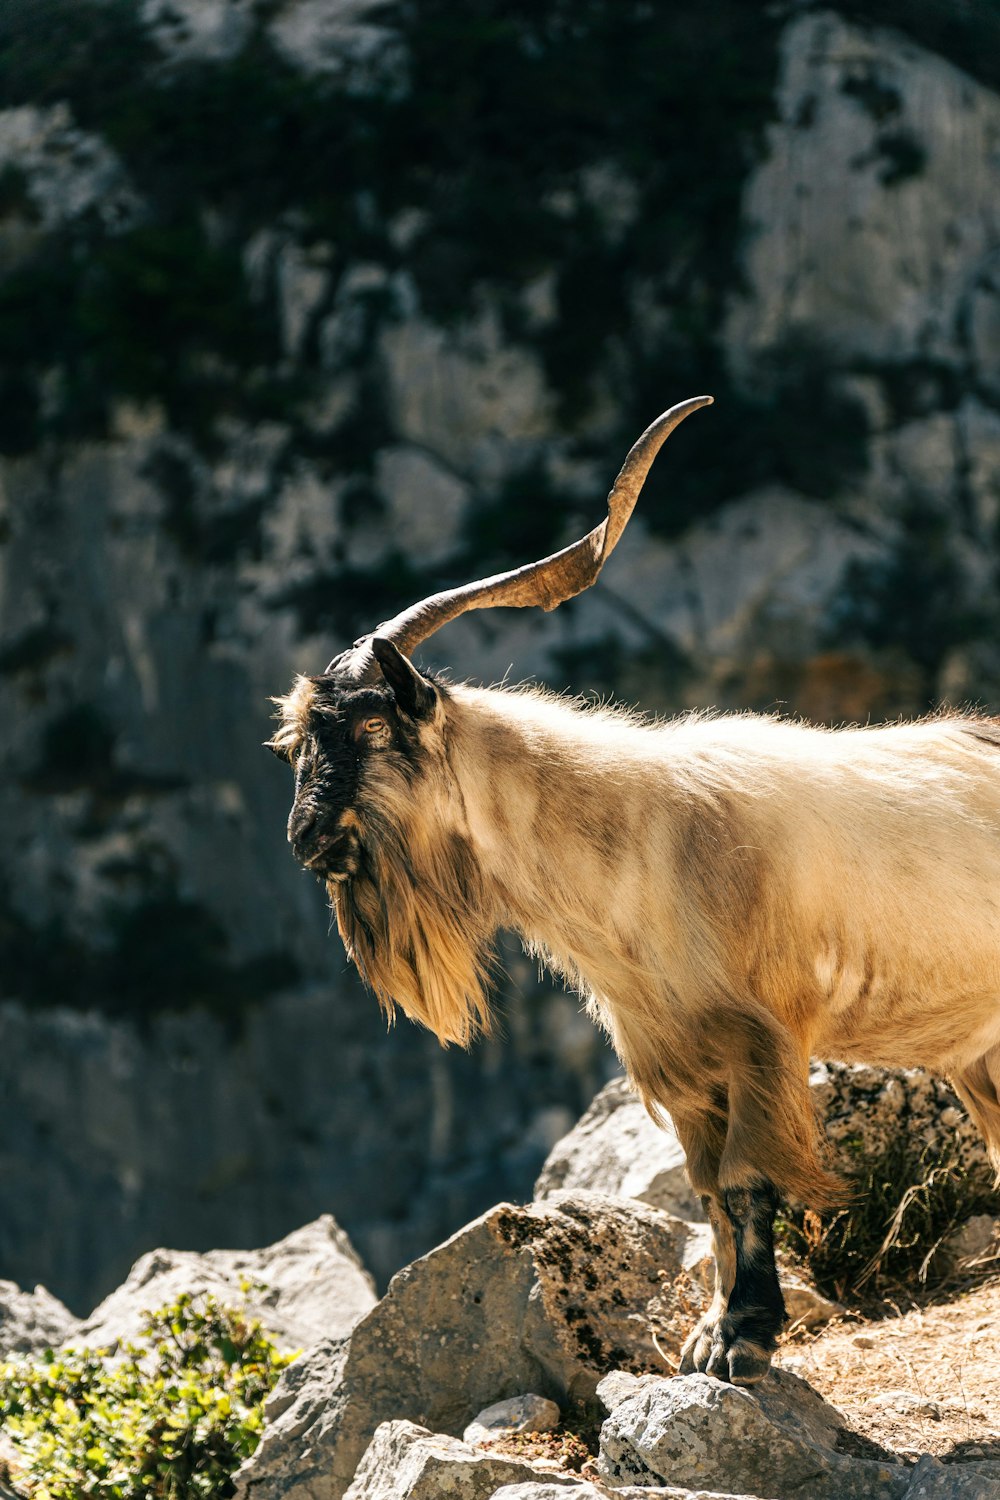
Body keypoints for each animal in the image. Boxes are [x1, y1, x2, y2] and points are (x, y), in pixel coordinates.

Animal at [269, 399, 1000, 1380]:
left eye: (377, 726)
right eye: (295, 742)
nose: (307, 840)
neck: (645, 840)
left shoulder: (761, 1043)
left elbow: (747, 1180)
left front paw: (743, 1338)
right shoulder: (677, 1062)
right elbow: (710, 1192)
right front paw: (709, 1330)